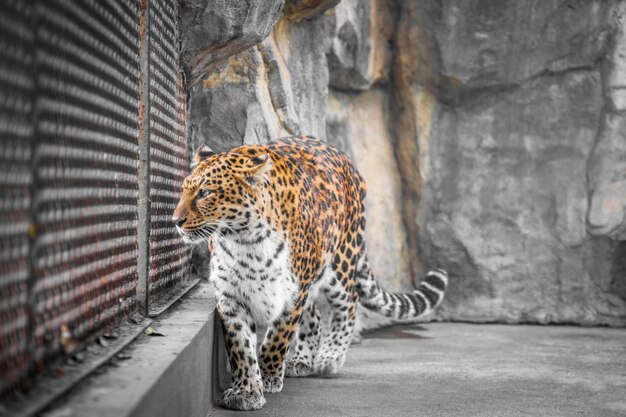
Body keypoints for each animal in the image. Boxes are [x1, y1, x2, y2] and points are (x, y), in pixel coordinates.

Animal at [171, 137, 444, 410]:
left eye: (205, 193)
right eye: (184, 190)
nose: (175, 220)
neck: (246, 242)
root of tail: (343, 158)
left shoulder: (293, 294)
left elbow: (278, 339)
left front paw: (268, 376)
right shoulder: (231, 297)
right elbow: (241, 347)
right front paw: (246, 391)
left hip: (340, 263)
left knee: (349, 304)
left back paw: (329, 358)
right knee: (314, 316)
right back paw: (302, 361)